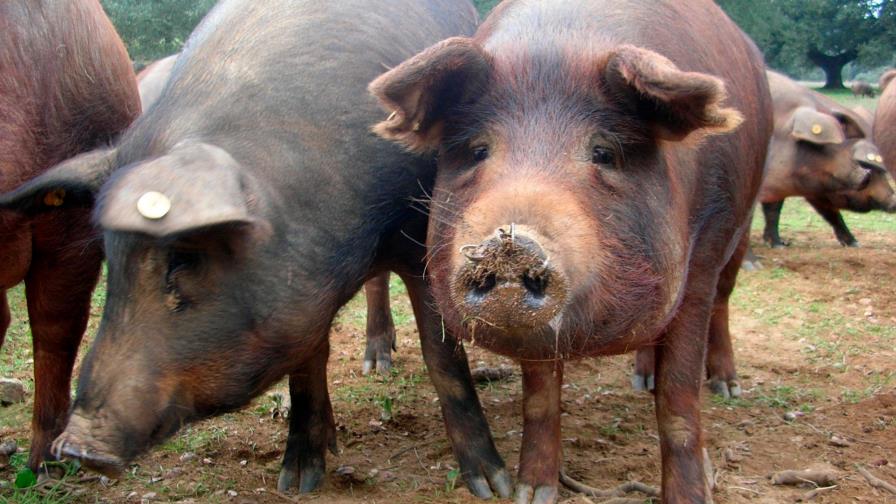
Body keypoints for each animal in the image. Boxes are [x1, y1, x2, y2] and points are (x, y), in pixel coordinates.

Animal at [369, 0, 772, 501]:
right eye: (479, 150)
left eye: (603, 152)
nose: (511, 243)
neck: (560, 45)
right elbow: (540, 396)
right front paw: (530, 494)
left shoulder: (703, 252)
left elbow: (678, 400)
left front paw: (688, 497)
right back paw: (643, 379)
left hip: (742, 223)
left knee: (722, 303)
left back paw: (726, 388)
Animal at [759, 71, 891, 248]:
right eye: (833, 145)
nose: (893, 199)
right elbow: (773, 210)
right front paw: (778, 245)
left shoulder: (815, 188)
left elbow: (831, 213)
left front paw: (855, 244)